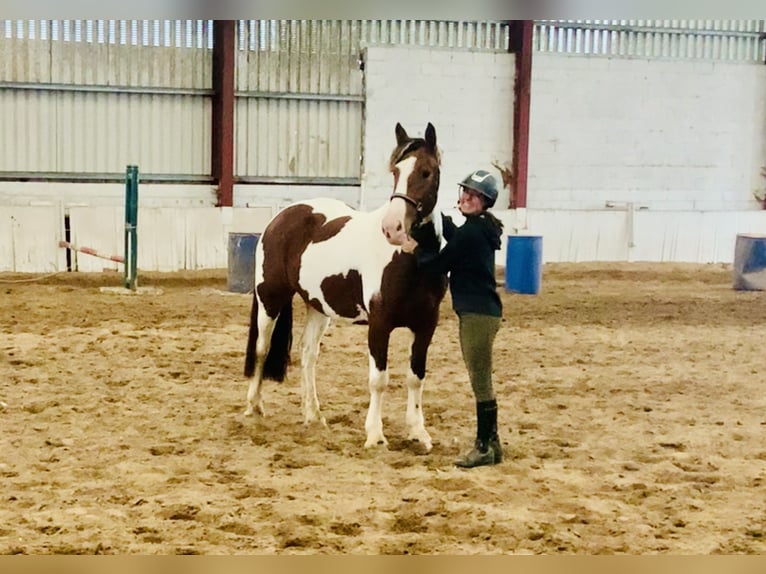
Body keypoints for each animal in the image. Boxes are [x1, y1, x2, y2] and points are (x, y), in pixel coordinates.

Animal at [244, 122, 450, 454]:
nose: (393, 228)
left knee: (308, 355)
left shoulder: (426, 325)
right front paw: (375, 435)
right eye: (396, 171)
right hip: (270, 298)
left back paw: (314, 415)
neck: (409, 260)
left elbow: (415, 377)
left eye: (426, 172)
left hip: (318, 307)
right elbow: (379, 380)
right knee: (262, 349)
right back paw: (254, 406)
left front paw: (418, 433)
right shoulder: (379, 324)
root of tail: (283, 217)